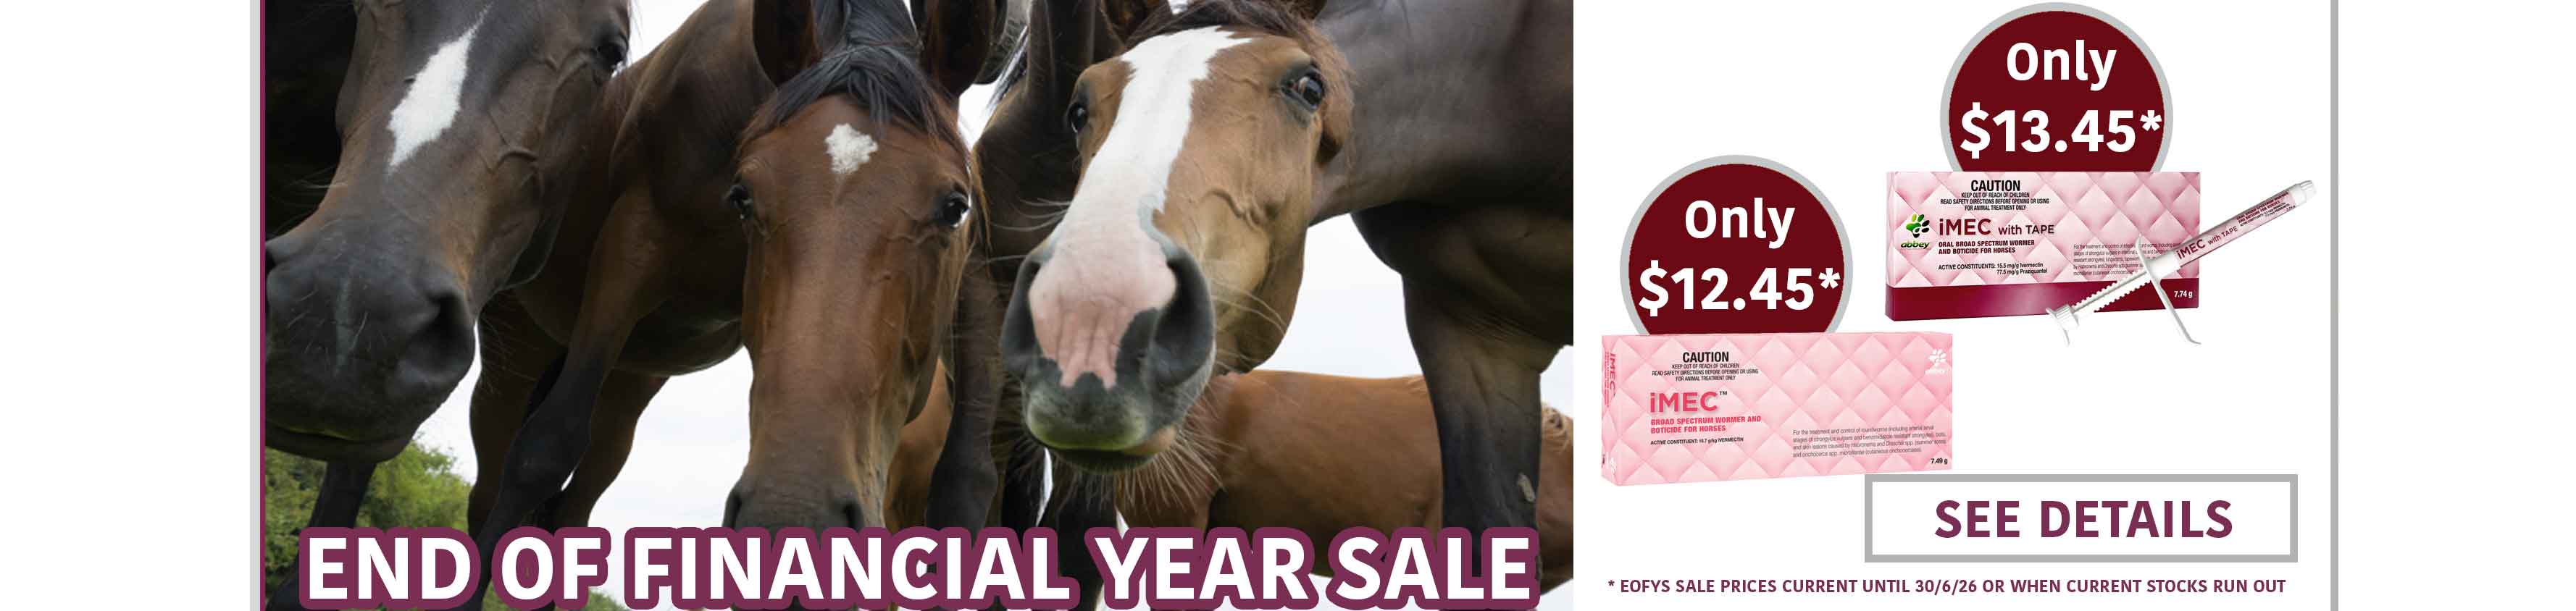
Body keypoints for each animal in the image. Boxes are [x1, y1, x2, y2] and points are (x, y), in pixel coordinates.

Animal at [460, 0, 1014, 582]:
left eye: (954, 206)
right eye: (744, 196)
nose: (792, 515)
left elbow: (965, 483)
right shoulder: (631, 244)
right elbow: (544, 448)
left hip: (626, 389)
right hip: (516, 360)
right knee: (493, 491)